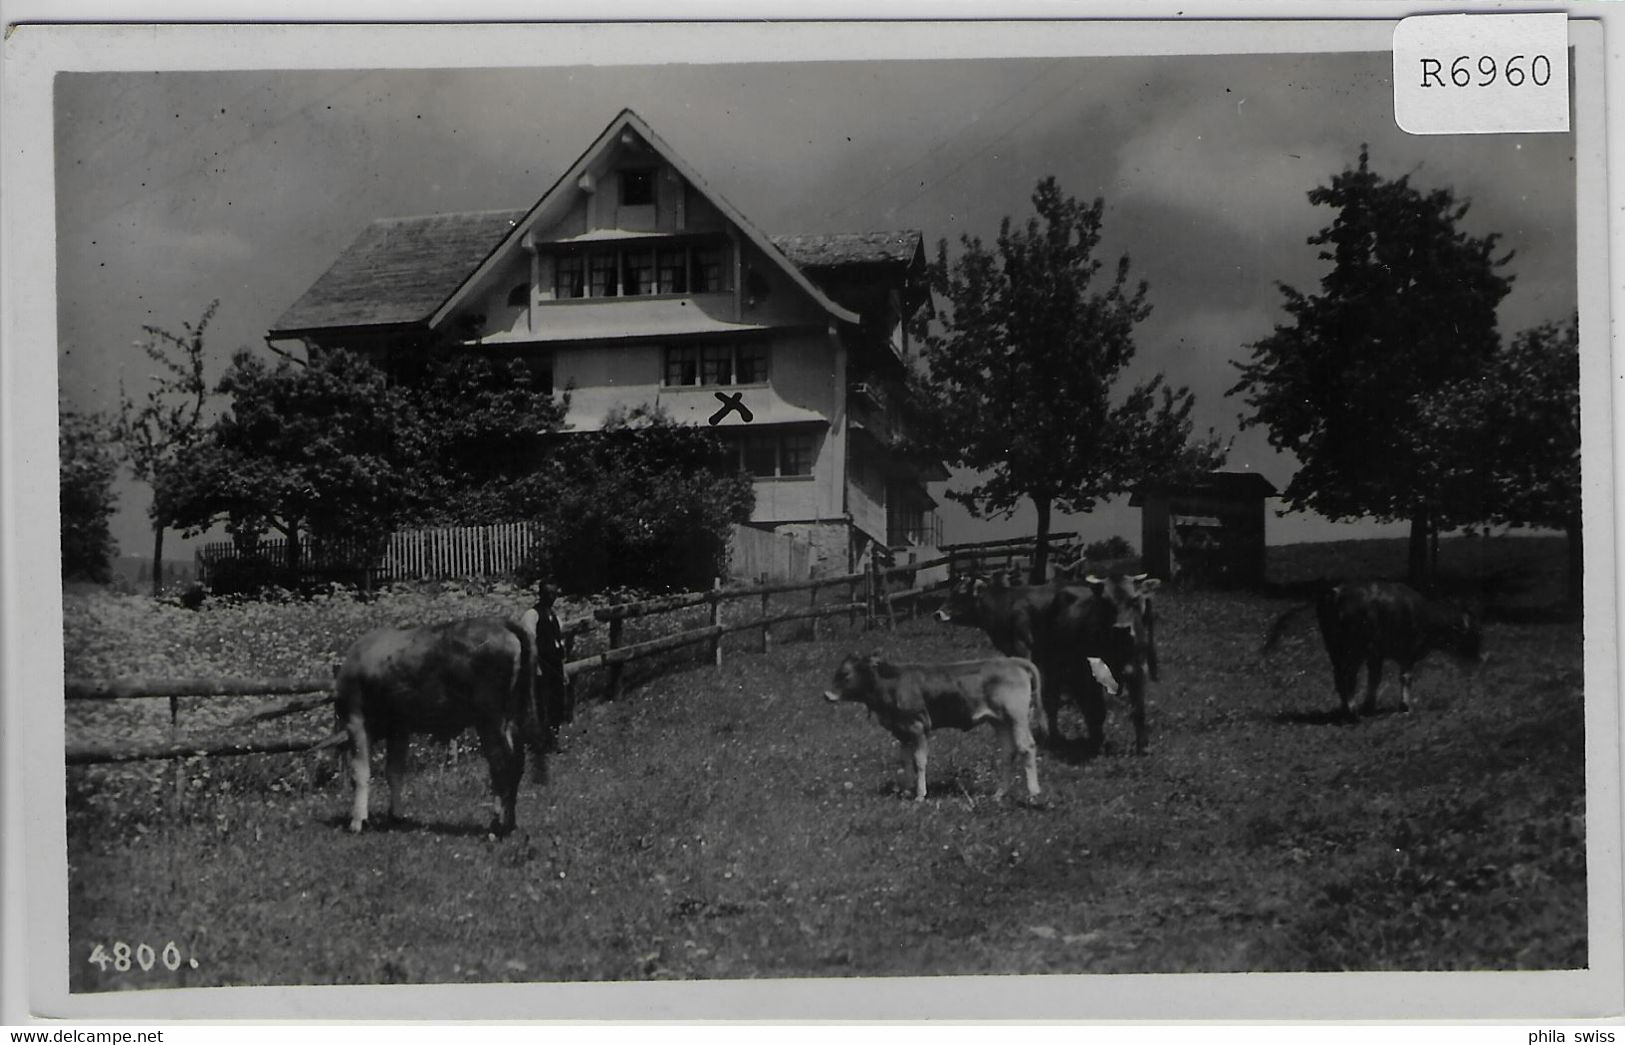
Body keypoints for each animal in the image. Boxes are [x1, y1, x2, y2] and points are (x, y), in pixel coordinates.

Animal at [325, 617, 546, 838]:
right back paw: (510, 823)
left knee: (503, 765)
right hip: (510, 719)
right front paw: (395, 816)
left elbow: (360, 773)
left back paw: (496, 827)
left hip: (490, 719)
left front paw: (358, 821)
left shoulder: (356, 720)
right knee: (517, 763)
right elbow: (394, 772)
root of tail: (503, 624)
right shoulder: (399, 728)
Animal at [819, 650, 1046, 806]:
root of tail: (1013, 660)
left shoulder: (918, 727)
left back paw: (1034, 793)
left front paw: (920, 794)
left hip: (1016, 717)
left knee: (1026, 747)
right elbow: (905, 761)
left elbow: (919, 761)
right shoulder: (902, 731)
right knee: (1008, 752)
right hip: (1000, 722)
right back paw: (999, 794)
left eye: (846, 674)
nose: (826, 695)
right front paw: (905, 791)